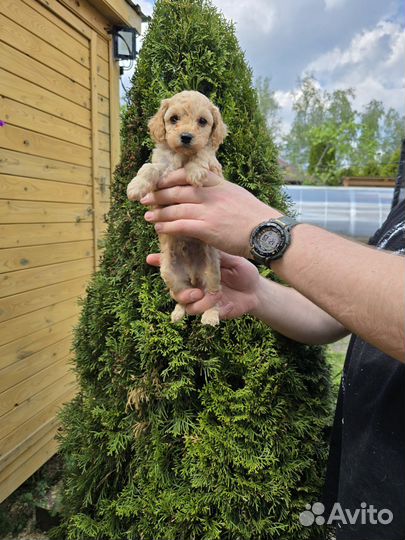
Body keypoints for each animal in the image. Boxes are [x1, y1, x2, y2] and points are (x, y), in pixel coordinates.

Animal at [126, 91, 227, 326]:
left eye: (202, 121)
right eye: (174, 119)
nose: (187, 137)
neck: (182, 156)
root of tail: (192, 274)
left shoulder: (214, 169)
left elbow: (203, 156)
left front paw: (195, 171)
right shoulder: (162, 168)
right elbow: (148, 168)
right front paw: (136, 187)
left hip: (212, 273)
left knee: (213, 296)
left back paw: (210, 316)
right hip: (170, 274)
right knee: (184, 297)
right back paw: (178, 312)